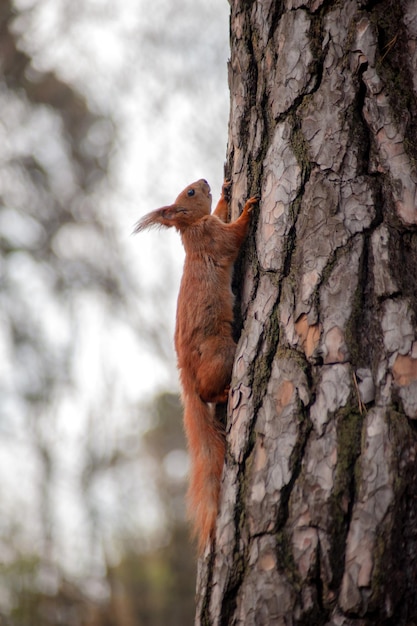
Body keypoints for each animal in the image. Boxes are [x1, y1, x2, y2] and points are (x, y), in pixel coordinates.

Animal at [133, 178, 256, 548]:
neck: (191, 229)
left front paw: (228, 191)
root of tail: (185, 374)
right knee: (207, 391)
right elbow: (234, 235)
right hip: (222, 353)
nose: (204, 181)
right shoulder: (214, 237)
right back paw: (226, 393)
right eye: (189, 193)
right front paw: (248, 209)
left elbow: (221, 213)